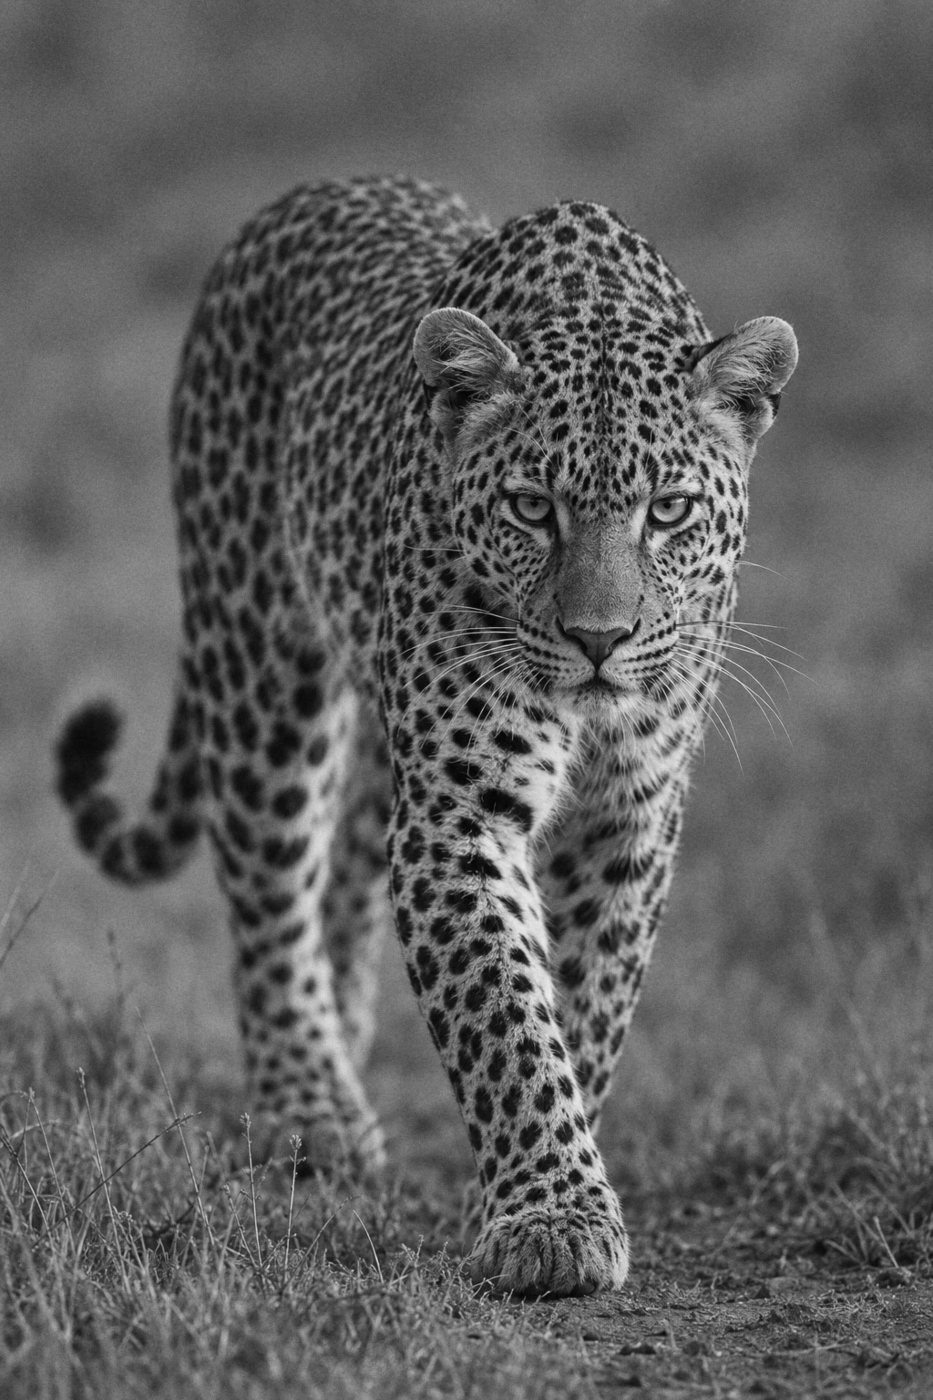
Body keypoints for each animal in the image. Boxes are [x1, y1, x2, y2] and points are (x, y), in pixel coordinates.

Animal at [55, 175, 797, 1297]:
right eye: (531, 507)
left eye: (669, 511)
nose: (599, 639)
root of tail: (312, 190)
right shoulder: (459, 811)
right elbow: (504, 1009)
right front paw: (553, 1214)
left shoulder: (628, 815)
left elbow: (585, 1001)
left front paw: (541, 1185)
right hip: (261, 661)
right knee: (269, 893)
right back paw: (311, 1109)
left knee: (345, 881)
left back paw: (347, 1044)